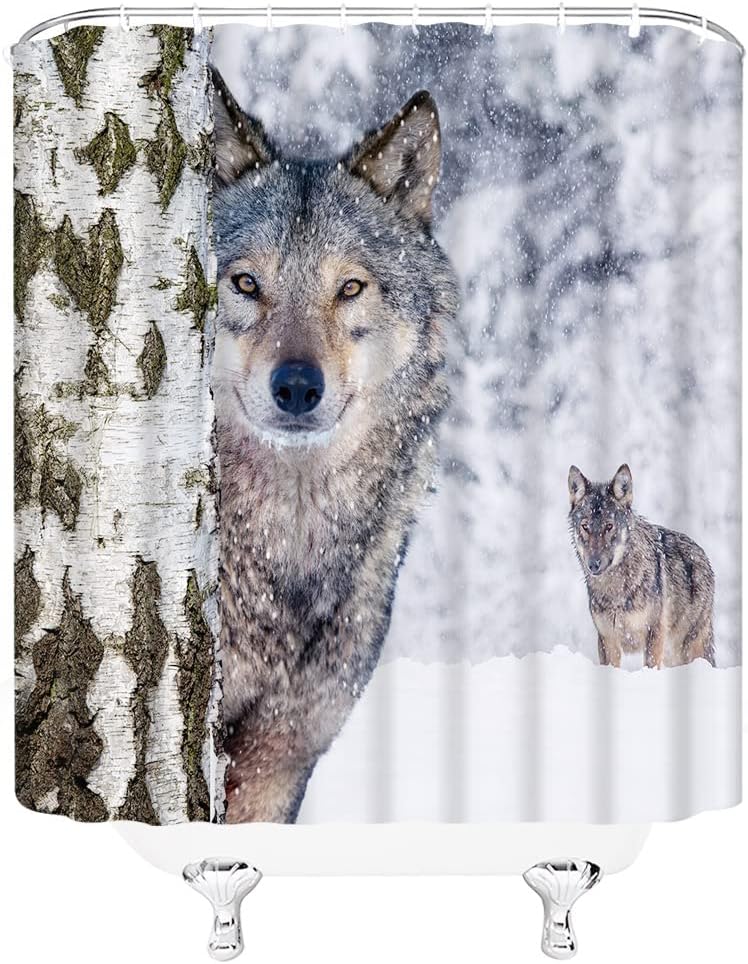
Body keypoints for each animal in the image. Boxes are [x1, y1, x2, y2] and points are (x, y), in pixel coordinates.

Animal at [568, 464, 715, 669]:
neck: (616, 591)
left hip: (689, 647)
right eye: (585, 526)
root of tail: (703, 555)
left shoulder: (654, 631)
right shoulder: (607, 639)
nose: (593, 564)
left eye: (609, 526)